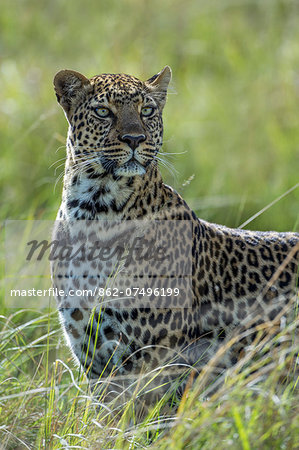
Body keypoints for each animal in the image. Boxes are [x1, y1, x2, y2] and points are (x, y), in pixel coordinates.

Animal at [51, 67, 299, 412]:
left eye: (147, 111)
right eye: (103, 111)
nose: (134, 139)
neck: (92, 208)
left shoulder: (147, 364)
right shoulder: (92, 356)